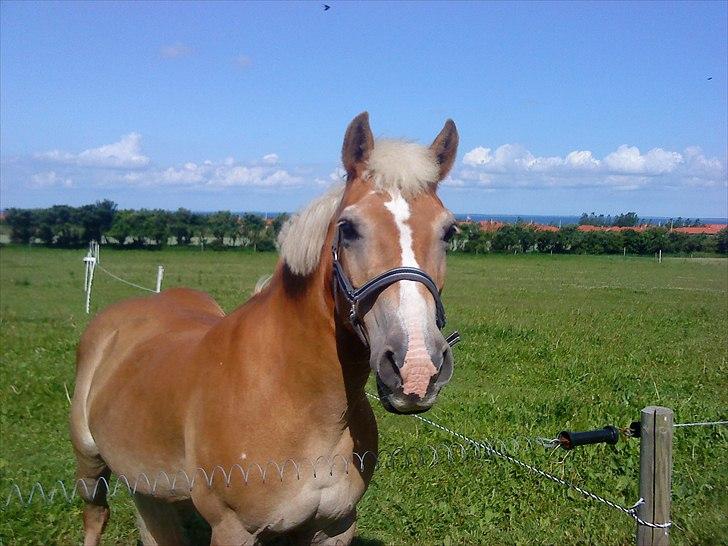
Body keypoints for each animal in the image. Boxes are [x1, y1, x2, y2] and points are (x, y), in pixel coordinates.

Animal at [70, 112, 460, 545]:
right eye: (348, 229)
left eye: (449, 232)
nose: (416, 368)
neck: (293, 398)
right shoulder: (233, 529)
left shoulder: (336, 526)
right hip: (90, 463)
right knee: (96, 515)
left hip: (147, 483)